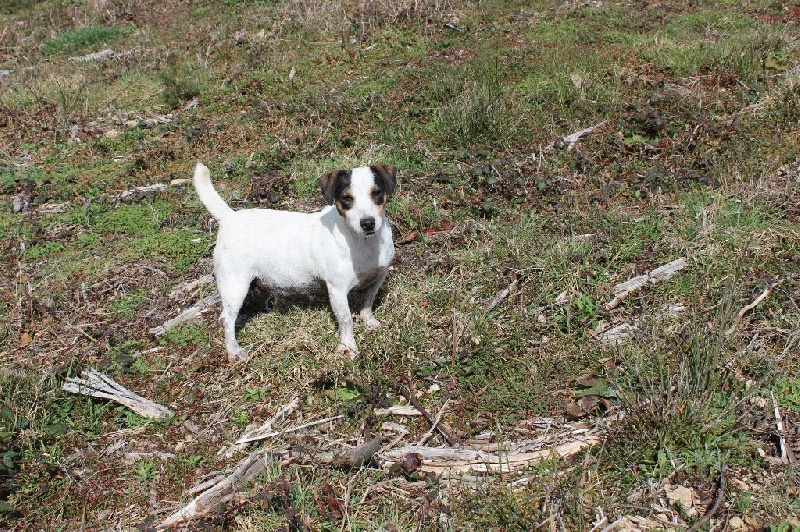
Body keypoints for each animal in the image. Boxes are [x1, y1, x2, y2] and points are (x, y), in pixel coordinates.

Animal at [192, 162, 396, 362]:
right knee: (226, 319)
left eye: (376, 193)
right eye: (346, 198)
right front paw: (348, 347)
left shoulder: (378, 277)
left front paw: (369, 321)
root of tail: (230, 218)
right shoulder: (337, 290)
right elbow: (346, 320)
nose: (368, 223)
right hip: (235, 286)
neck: (363, 243)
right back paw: (233, 350)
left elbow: (368, 301)